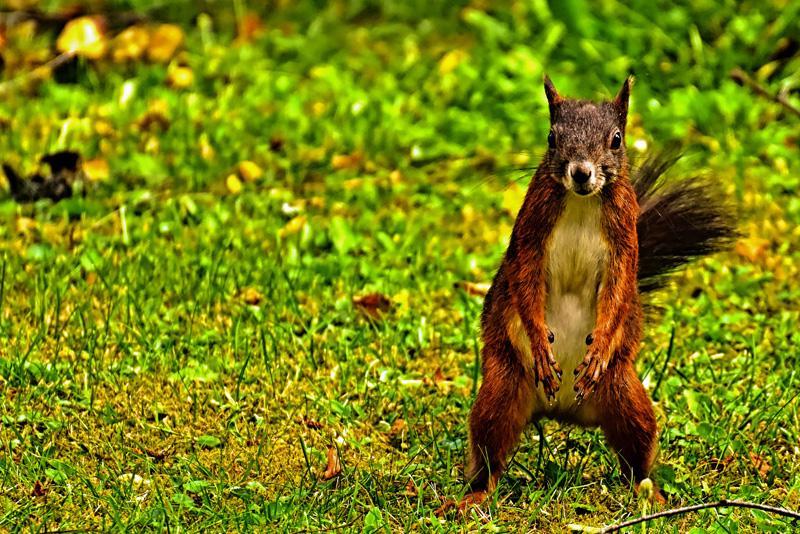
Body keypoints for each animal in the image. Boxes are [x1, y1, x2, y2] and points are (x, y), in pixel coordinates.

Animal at [463, 76, 737, 508]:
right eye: (552, 138)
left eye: (616, 140)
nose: (580, 172)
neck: (582, 201)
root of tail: (560, 412)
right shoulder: (529, 233)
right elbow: (524, 282)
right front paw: (540, 344)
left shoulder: (625, 240)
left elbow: (620, 288)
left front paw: (602, 344)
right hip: (502, 390)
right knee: (490, 447)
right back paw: (474, 496)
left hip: (624, 396)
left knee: (637, 450)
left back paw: (650, 494)